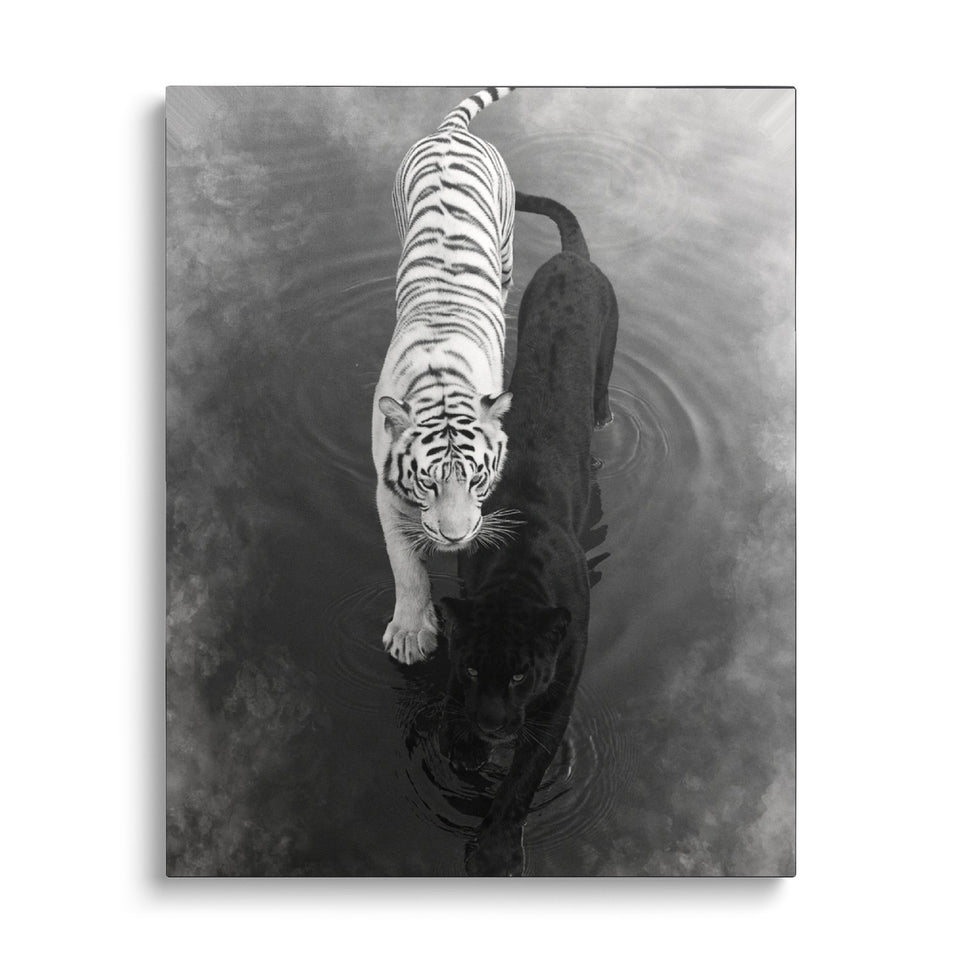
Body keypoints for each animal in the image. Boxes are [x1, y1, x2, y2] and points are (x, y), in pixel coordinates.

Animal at [372, 87, 518, 665]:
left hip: (506, 242)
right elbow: (405, 566)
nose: (455, 538)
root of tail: (450, 132)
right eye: (428, 482)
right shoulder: (386, 494)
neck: (440, 386)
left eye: (476, 478)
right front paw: (412, 633)